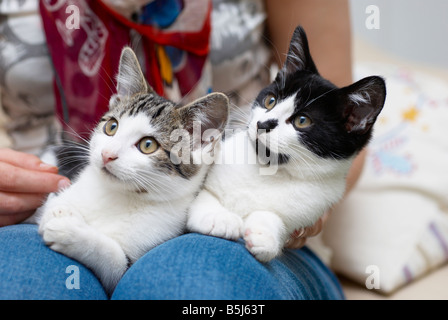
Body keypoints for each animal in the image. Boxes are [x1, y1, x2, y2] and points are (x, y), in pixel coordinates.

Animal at [36, 47, 229, 292]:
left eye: (148, 145)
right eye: (111, 127)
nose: (107, 154)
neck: (119, 196)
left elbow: (116, 258)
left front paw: (67, 229)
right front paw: (59, 209)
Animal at [187, 26, 386, 262]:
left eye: (302, 121)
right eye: (270, 100)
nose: (263, 124)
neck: (268, 171)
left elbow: (276, 218)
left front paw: (265, 233)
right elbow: (204, 194)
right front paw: (218, 218)